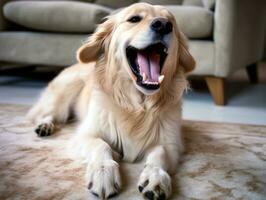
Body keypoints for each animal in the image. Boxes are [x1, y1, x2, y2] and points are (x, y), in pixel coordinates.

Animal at [26, 2, 194, 199]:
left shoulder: (170, 143)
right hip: (65, 93)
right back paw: (45, 126)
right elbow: (101, 145)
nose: (163, 25)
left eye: (172, 23)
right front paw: (103, 171)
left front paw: (156, 177)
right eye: (134, 19)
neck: (137, 107)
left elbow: (159, 154)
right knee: (47, 114)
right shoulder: (85, 135)